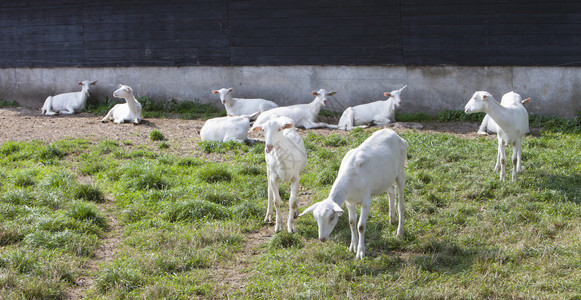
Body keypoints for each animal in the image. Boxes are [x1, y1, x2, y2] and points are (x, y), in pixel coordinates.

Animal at [300, 129, 408, 260]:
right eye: (316, 218)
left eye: (331, 217)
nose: (322, 239)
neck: (350, 180)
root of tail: (396, 135)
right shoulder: (349, 203)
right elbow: (351, 222)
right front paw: (353, 246)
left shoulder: (366, 200)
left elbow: (361, 226)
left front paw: (360, 252)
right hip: (385, 178)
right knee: (391, 190)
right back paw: (392, 218)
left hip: (400, 172)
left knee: (401, 204)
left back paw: (399, 232)